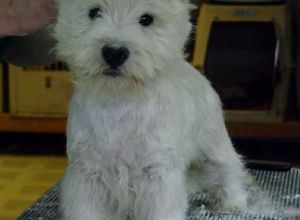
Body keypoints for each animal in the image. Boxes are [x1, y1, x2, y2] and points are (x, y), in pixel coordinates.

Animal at [53, 0, 248, 218]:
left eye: (147, 19)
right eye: (94, 12)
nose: (114, 52)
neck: (120, 101)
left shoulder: (158, 174)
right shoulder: (87, 174)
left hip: (214, 146)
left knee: (229, 170)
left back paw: (232, 202)